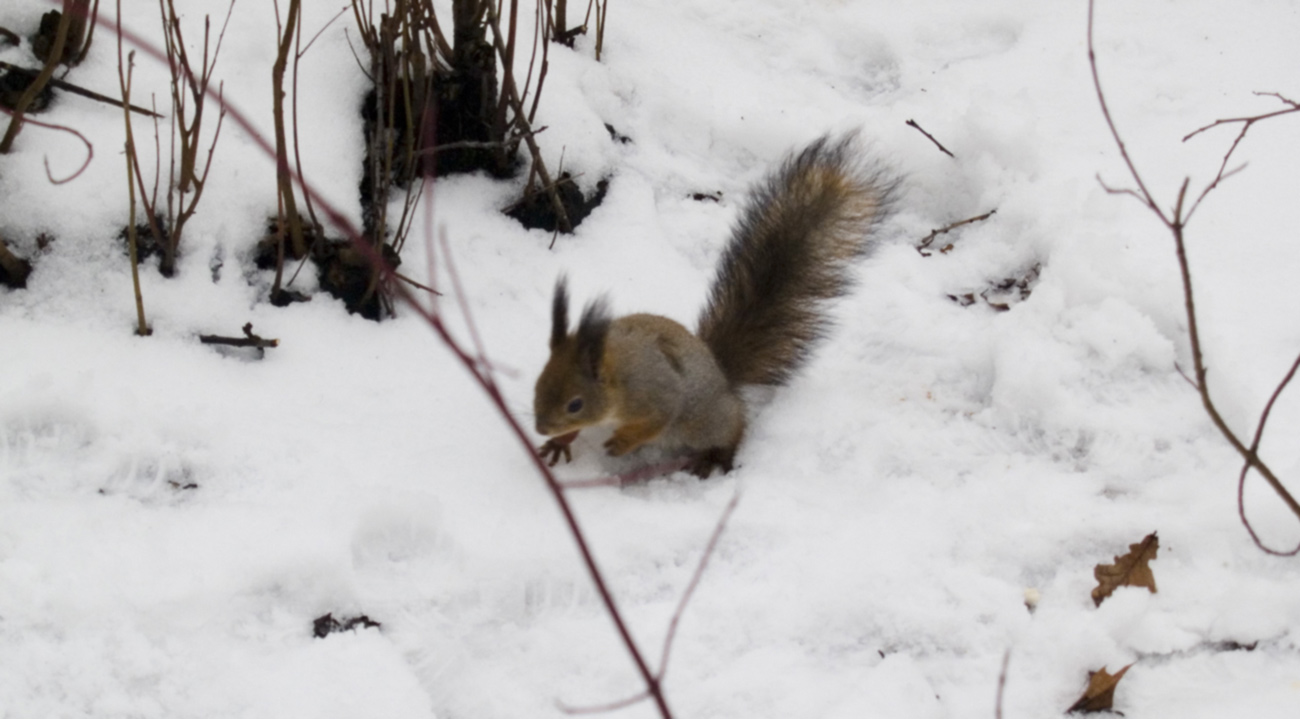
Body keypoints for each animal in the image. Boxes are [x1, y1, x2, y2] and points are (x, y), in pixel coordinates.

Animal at [527, 133, 894, 475]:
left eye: (575, 404)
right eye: (539, 382)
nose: (541, 427)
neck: (617, 375)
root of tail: (722, 377)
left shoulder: (659, 394)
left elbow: (657, 420)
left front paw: (621, 442)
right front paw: (560, 442)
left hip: (703, 422)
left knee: (734, 426)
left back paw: (718, 458)